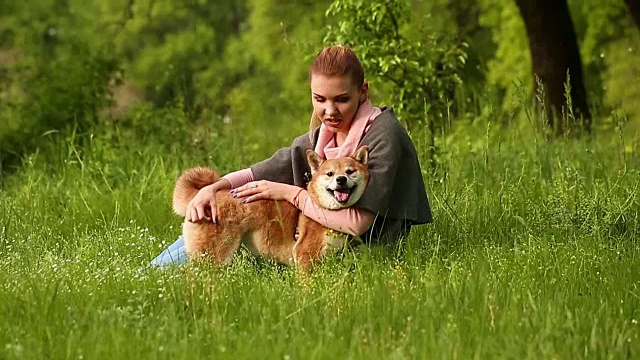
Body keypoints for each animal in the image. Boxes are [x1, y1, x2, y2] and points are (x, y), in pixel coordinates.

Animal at [172, 146, 370, 270]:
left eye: (350, 171)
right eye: (329, 174)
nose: (341, 179)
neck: (322, 211)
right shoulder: (304, 255)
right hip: (211, 258)